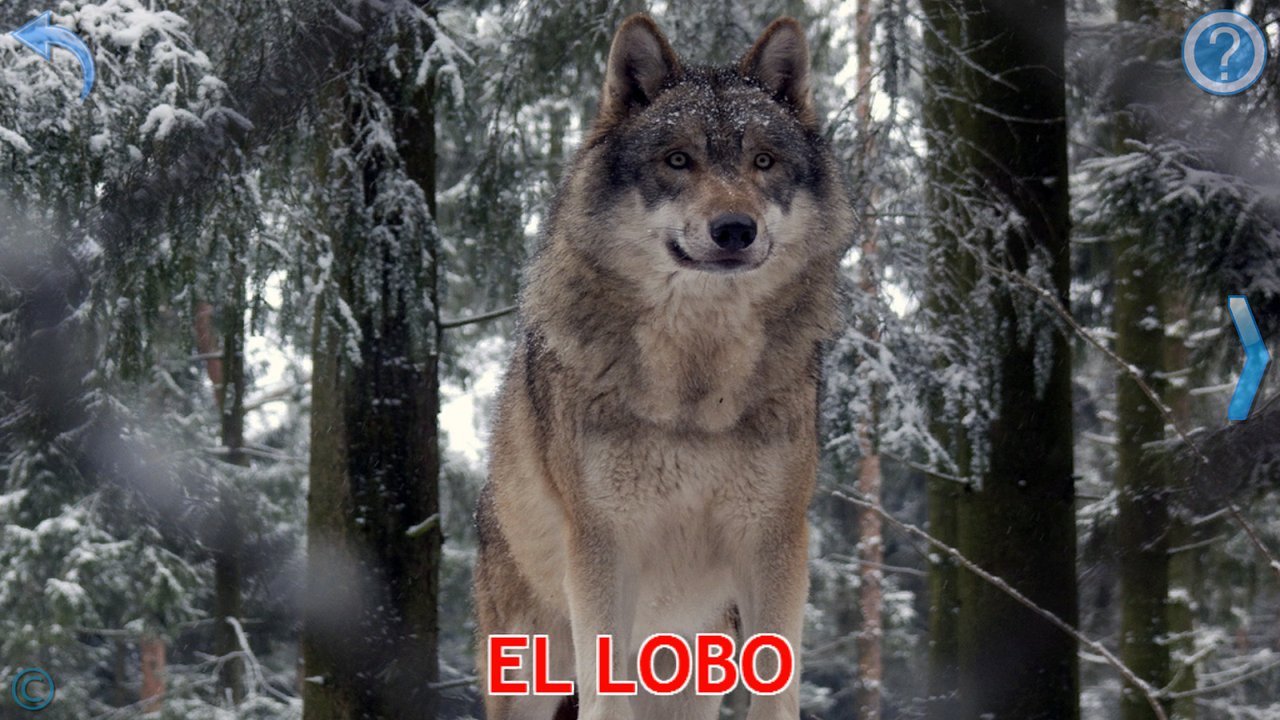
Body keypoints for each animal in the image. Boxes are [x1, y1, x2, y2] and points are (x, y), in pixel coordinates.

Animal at [473, 13, 854, 720]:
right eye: (678, 160)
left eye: (764, 162)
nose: (735, 228)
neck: (697, 383)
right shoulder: (603, 546)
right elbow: (604, 695)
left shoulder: (775, 541)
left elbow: (776, 688)